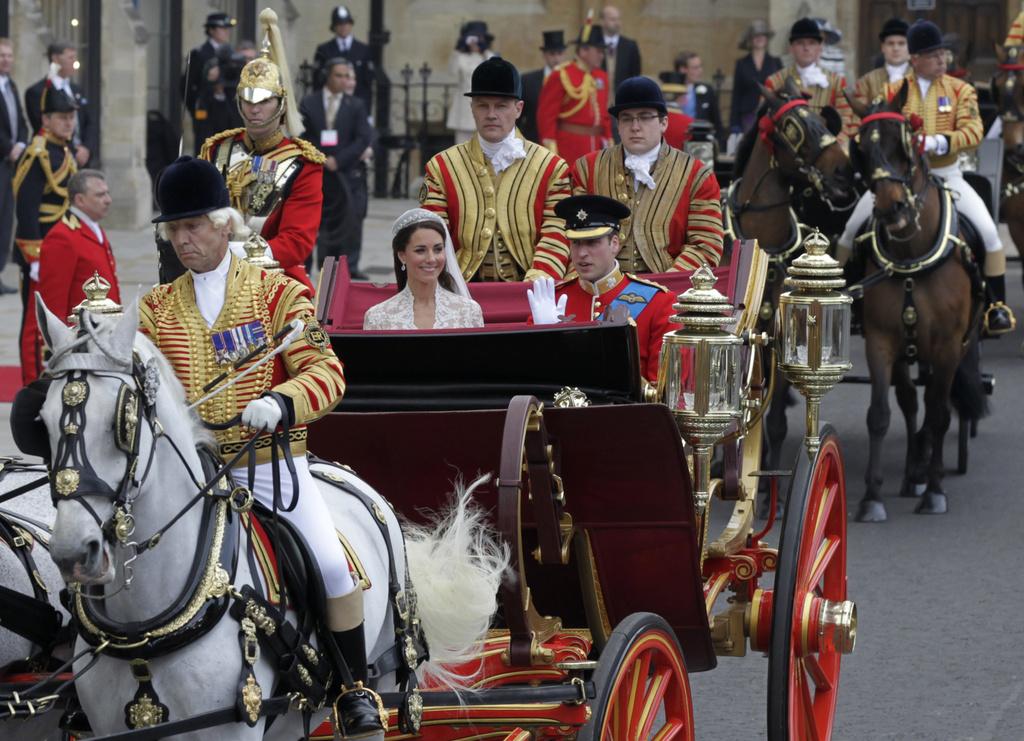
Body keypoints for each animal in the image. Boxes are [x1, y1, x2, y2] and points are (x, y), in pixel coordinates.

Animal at [35, 298, 507, 736]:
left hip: (386, 675)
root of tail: (334, 470)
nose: (73, 552)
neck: (144, 631)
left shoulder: (230, 728)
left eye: (124, 421)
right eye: (42, 422)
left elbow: (322, 365)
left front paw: (266, 409)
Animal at [724, 80, 860, 509]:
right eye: (792, 127)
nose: (845, 170)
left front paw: (772, 492)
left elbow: (776, 421)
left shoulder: (781, 346)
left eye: (823, 120)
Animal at [843, 85, 987, 521]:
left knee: (934, 405)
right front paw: (872, 497)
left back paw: (924, 470)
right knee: (908, 400)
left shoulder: (947, 345)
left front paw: (935, 489)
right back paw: (911, 472)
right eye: (861, 149)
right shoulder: (880, 341)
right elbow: (880, 414)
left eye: (903, 141)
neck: (911, 256)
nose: (892, 209)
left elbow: (939, 414)